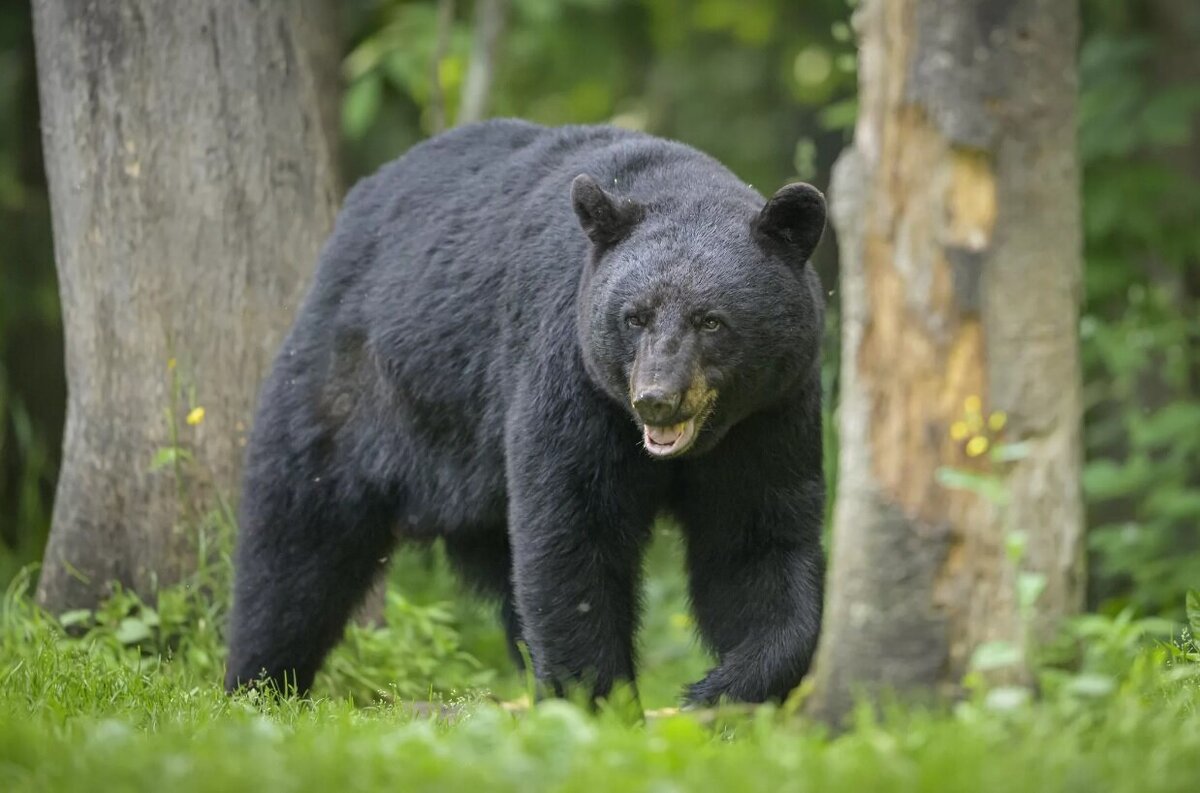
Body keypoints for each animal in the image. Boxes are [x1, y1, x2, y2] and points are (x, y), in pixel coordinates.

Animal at [223, 119, 825, 705]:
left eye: (711, 321)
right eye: (634, 316)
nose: (656, 398)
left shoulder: (769, 415)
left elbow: (755, 542)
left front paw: (722, 689)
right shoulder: (571, 377)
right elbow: (572, 532)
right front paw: (598, 700)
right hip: (351, 390)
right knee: (297, 544)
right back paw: (259, 684)